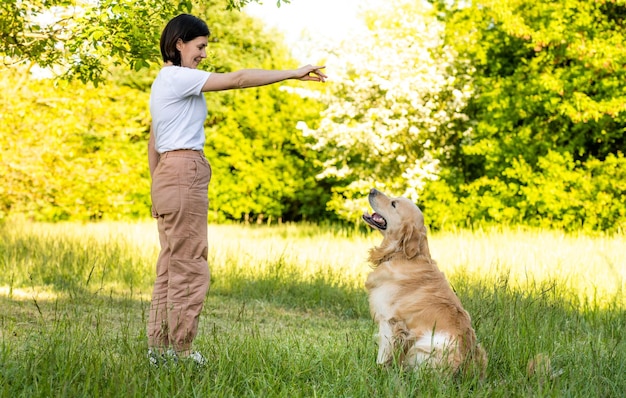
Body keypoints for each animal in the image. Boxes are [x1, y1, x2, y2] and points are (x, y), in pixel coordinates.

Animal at [360, 188, 488, 378]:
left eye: (393, 204)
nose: (372, 190)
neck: (402, 255)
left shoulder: (389, 322)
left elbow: (383, 354)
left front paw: (377, 372)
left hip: (430, 343)